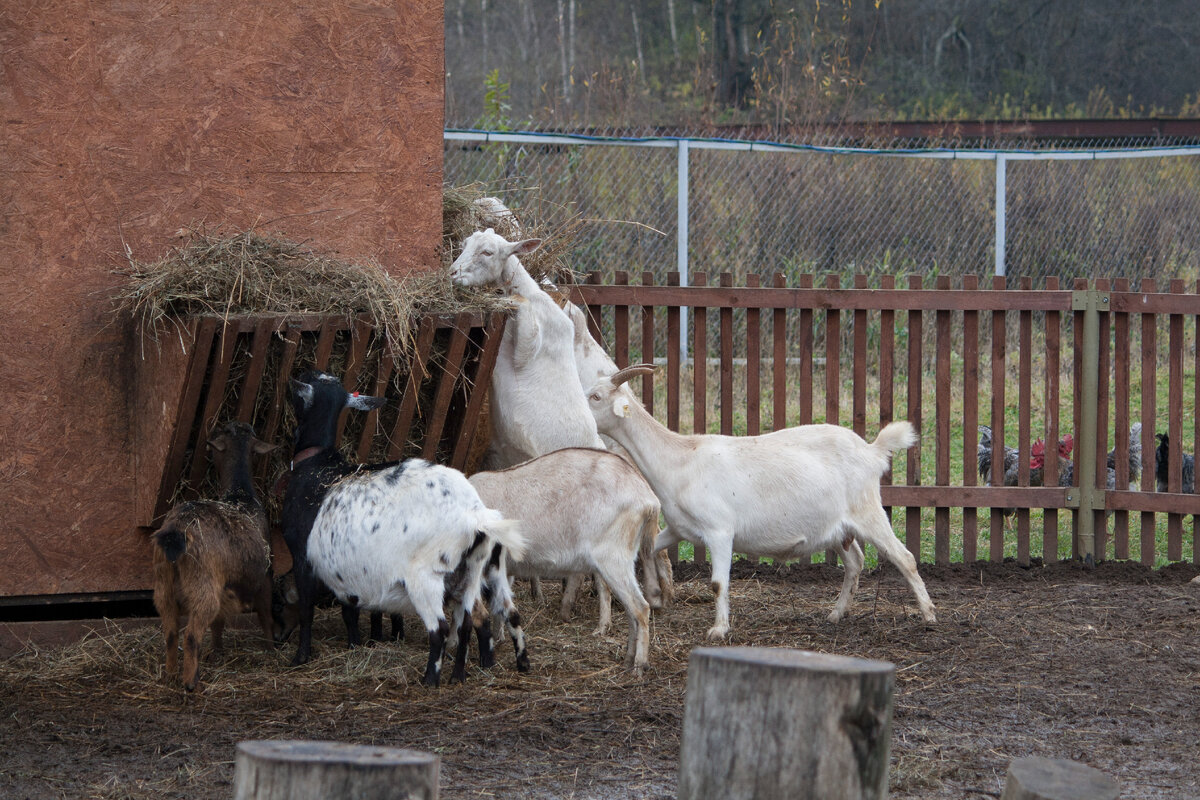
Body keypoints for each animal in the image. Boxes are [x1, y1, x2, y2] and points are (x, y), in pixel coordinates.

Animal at [468, 448, 657, 671]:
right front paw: (499, 637)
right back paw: (628, 659)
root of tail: (648, 498)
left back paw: (639, 665)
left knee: (641, 608)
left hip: (613, 560)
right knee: (631, 610)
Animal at [580, 367, 936, 642]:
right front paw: (654, 593)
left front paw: (719, 629)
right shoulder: (681, 529)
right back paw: (836, 614)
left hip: (868, 511)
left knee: (904, 557)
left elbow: (717, 583)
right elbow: (650, 547)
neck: (680, 459)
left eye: (596, 396)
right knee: (856, 562)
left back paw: (929, 616)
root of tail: (872, 451)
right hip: (837, 527)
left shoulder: (719, 532)